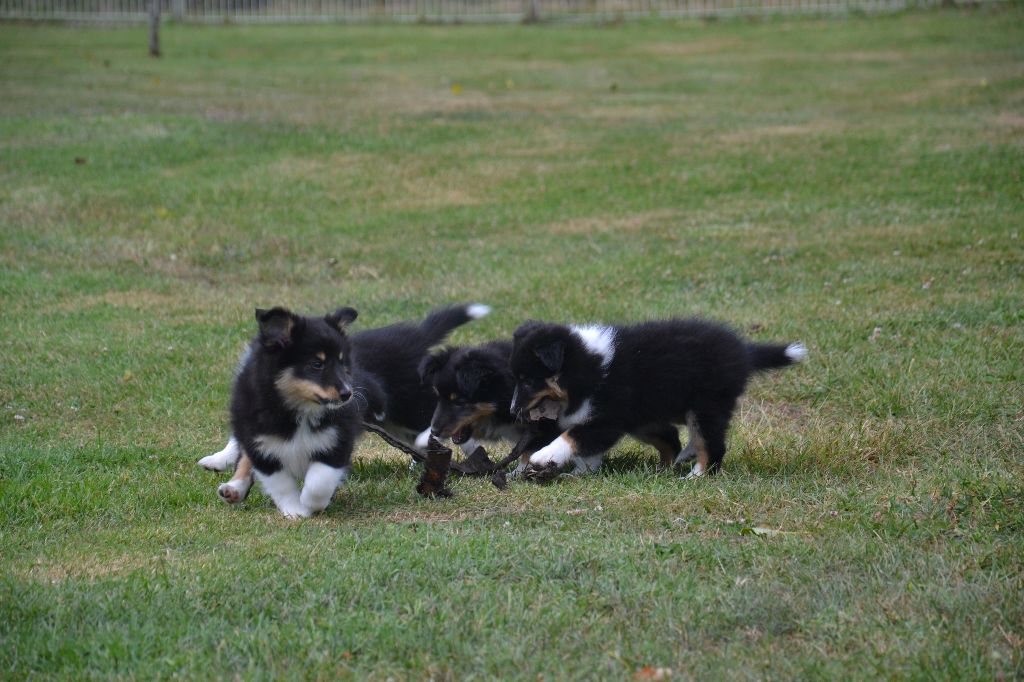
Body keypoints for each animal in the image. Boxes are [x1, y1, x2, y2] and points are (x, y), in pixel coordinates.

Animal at [205, 303, 489, 516]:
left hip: (413, 406)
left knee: (449, 423)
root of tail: (414, 338)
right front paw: (293, 510)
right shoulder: (259, 437)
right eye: (316, 365)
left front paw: (310, 505)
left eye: (342, 363)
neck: (298, 411)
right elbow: (276, 478)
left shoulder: (337, 438)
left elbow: (319, 481)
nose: (348, 394)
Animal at [507, 319, 802, 477]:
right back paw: (667, 467)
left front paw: (545, 456)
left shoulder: (607, 417)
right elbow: (587, 451)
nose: (512, 410)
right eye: (516, 379)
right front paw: (579, 473)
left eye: (528, 380)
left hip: (707, 405)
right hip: (646, 419)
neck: (587, 367)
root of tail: (744, 352)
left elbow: (573, 437)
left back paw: (696, 476)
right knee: (672, 437)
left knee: (712, 444)